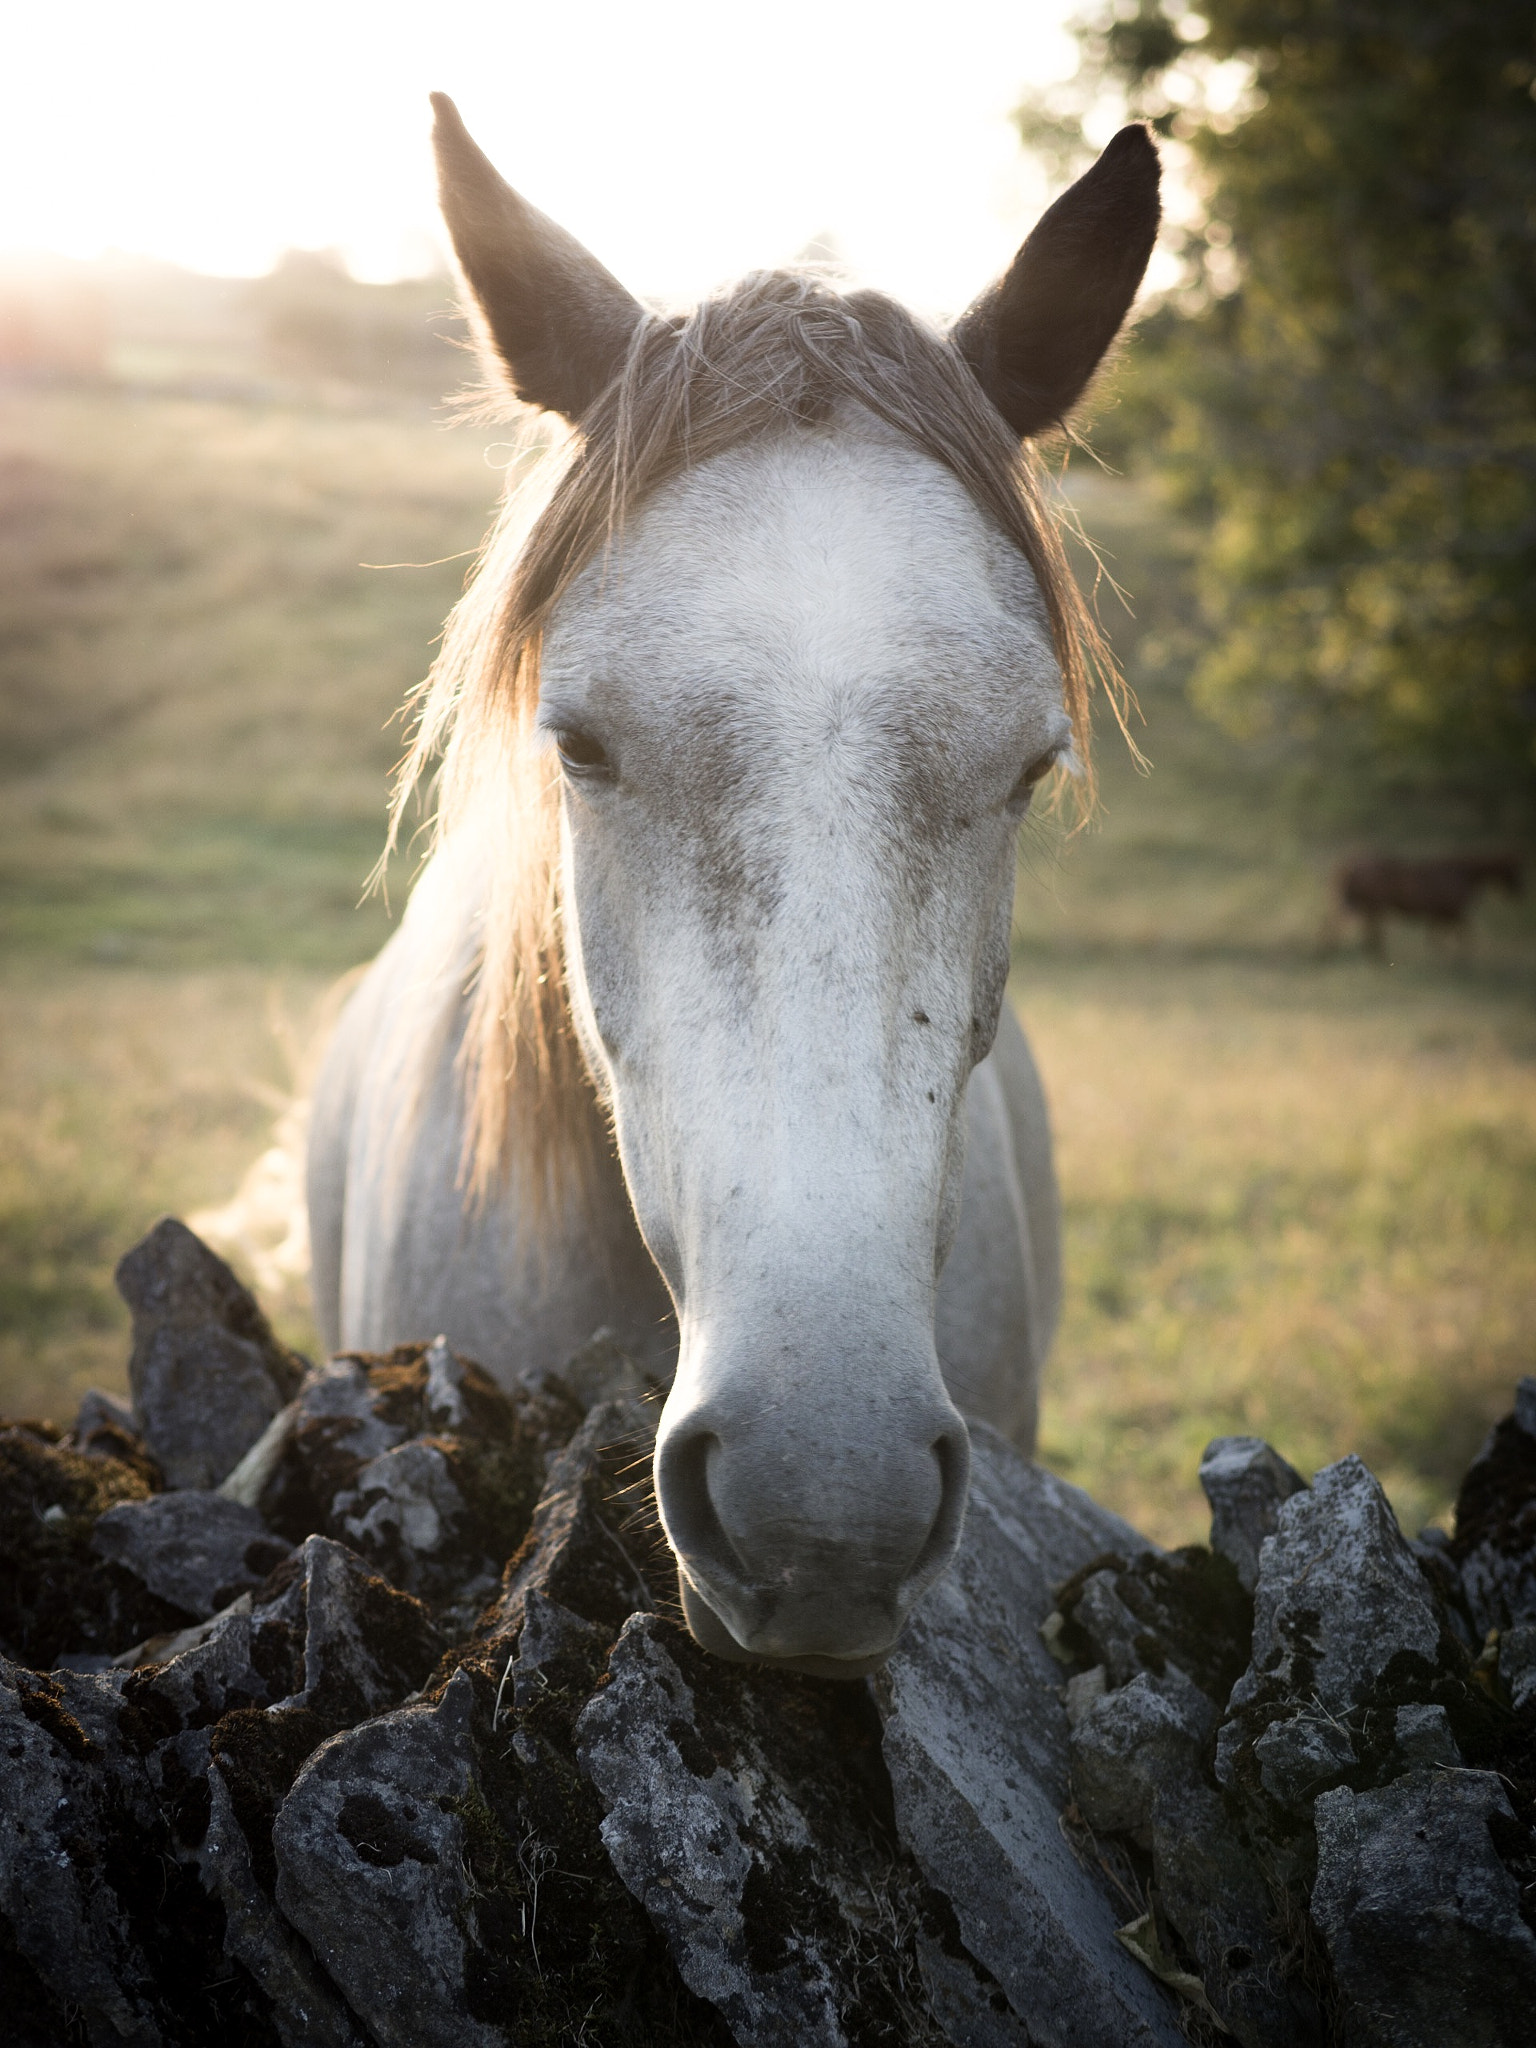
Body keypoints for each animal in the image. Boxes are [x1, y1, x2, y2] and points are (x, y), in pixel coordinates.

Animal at [1335, 847, 1531, 950]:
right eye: (1514, 868)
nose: (1521, 891)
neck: (1466, 874)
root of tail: (1351, 865)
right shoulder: (1451, 912)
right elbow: (1460, 936)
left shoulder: (1443, 914)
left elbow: (1441, 937)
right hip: (1374, 907)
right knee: (1372, 933)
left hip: (1371, 907)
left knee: (1370, 932)